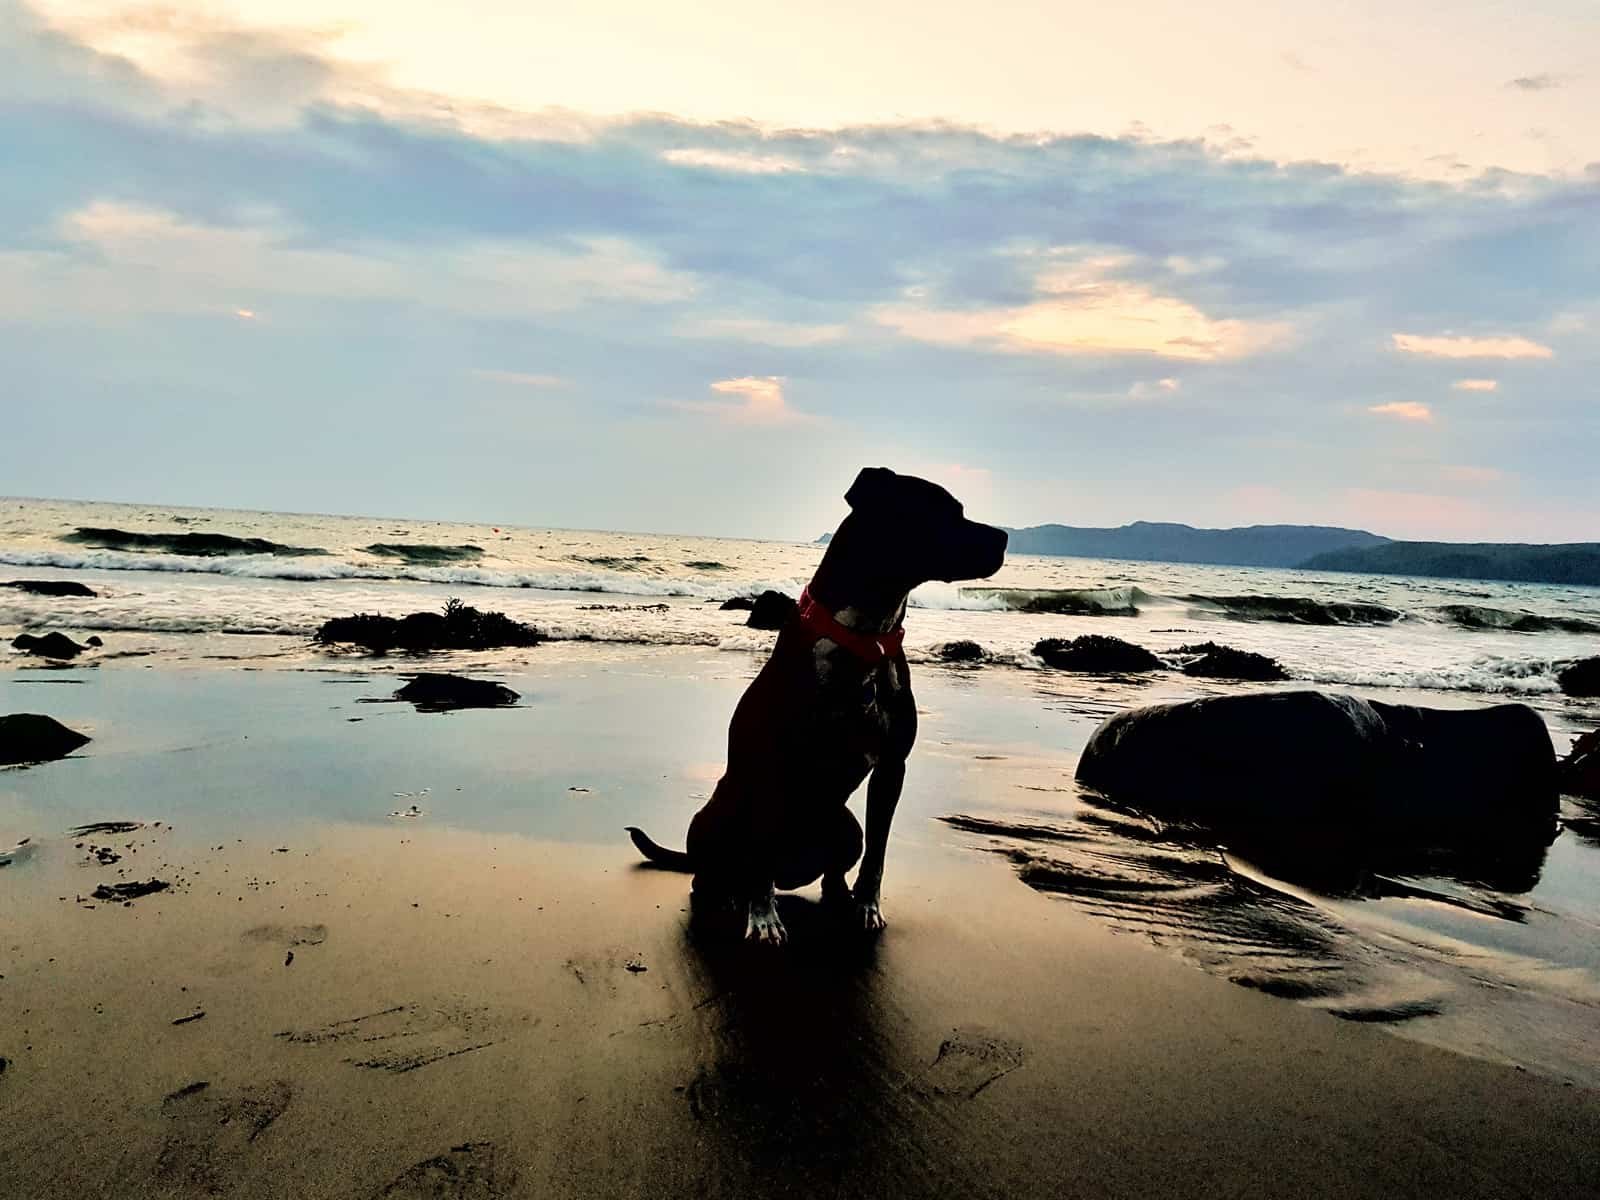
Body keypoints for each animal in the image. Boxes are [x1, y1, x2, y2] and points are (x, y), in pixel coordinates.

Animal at [620, 464, 998, 947]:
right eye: (943, 512)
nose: (1003, 537)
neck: (863, 637)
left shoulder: (892, 767)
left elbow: (878, 852)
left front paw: (867, 908)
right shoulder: (770, 764)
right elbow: (760, 848)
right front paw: (763, 919)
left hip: (845, 825)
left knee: (834, 867)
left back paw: (836, 896)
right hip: (716, 816)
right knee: (712, 874)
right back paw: (729, 898)